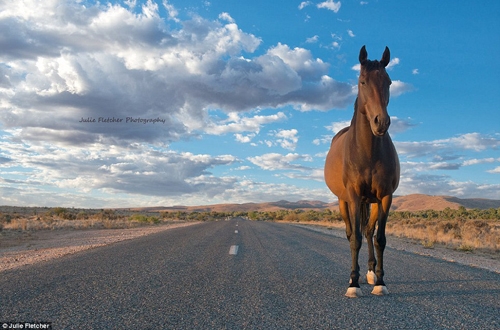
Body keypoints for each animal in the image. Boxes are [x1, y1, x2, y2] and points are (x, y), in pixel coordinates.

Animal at [324, 45, 402, 296]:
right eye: (363, 81)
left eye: (388, 81)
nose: (381, 122)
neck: (367, 152)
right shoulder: (355, 196)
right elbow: (355, 239)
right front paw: (353, 284)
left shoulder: (385, 197)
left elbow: (380, 239)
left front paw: (380, 282)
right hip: (344, 201)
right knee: (352, 233)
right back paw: (356, 274)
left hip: (373, 201)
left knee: (368, 232)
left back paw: (369, 272)